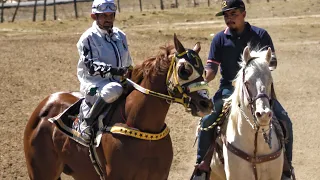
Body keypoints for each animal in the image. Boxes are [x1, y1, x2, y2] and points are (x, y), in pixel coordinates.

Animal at [24, 34, 212, 179]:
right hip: (41, 173)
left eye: (203, 69)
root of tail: (44, 107)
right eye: (184, 70)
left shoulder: (159, 175)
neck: (141, 127)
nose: (206, 103)